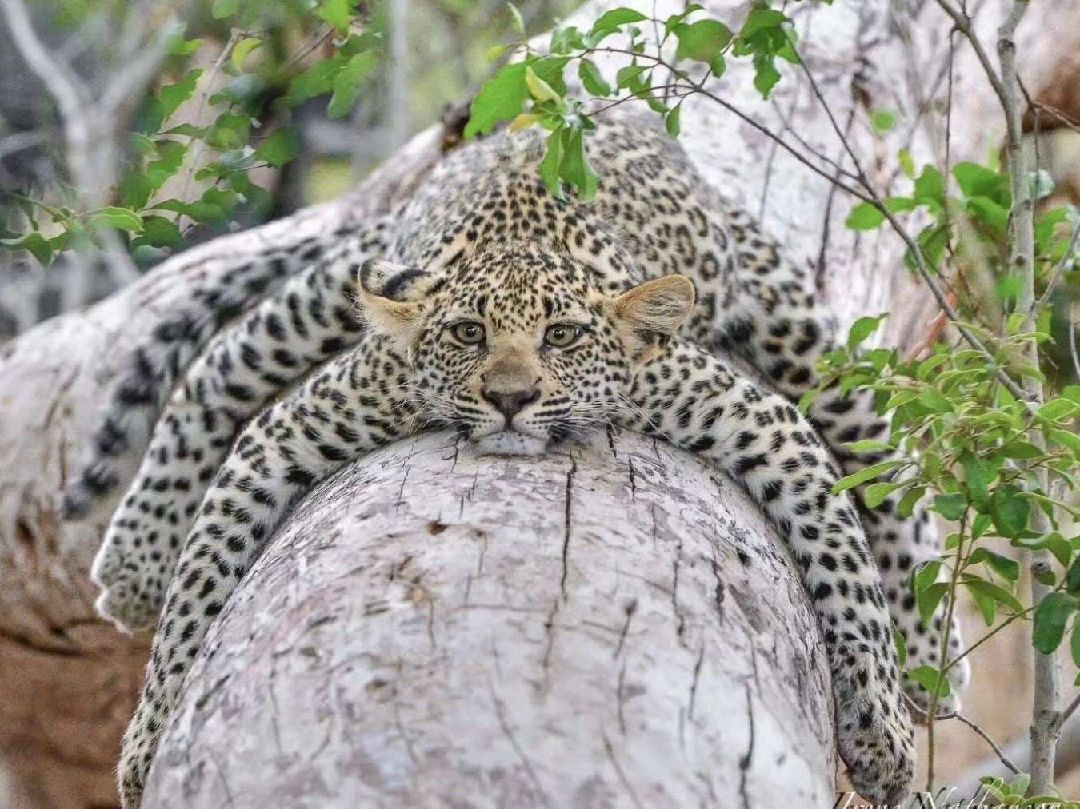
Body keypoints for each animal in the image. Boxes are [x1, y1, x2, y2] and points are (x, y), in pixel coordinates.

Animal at [63, 109, 967, 807]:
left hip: (796, 331)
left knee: (881, 455)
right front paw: (148, 740)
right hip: (351, 282)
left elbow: (844, 567)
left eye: (561, 336)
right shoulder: (301, 423)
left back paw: (929, 656)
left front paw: (883, 729)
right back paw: (135, 560)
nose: (509, 397)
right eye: (469, 333)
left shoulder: (759, 416)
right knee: (218, 364)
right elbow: (195, 594)